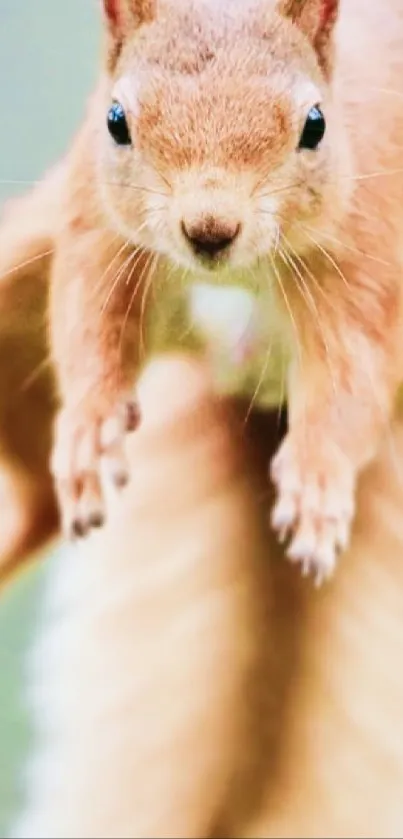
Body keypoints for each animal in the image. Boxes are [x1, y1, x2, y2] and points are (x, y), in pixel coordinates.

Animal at [2, 0, 403, 584]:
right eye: (115, 121)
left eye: (316, 125)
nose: (210, 229)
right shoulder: (96, 224)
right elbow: (87, 325)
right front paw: (91, 432)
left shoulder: (363, 249)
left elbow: (351, 380)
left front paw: (316, 482)